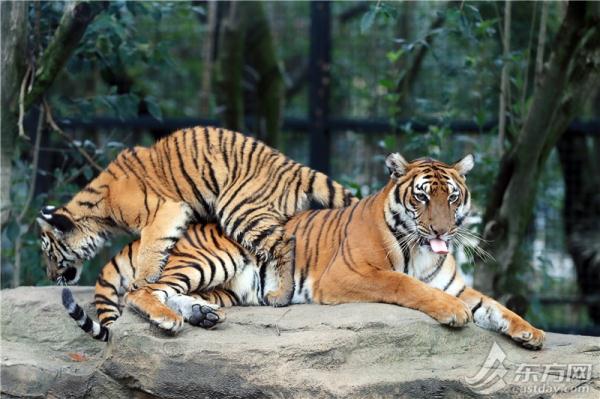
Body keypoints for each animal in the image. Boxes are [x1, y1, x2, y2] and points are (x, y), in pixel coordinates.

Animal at [36, 126, 356, 308]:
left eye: (51, 255)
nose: (50, 277)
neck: (98, 214)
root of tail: (291, 165)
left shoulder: (166, 209)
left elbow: (150, 249)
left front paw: (141, 282)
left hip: (237, 208)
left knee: (285, 240)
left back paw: (281, 295)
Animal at [63, 153, 548, 350]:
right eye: (423, 197)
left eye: (453, 197)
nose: (443, 229)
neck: (427, 251)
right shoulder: (351, 274)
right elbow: (408, 285)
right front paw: (452, 313)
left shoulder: (459, 285)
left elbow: (496, 307)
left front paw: (531, 334)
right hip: (211, 258)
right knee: (143, 290)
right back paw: (170, 320)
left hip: (229, 288)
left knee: (176, 293)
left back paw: (202, 315)